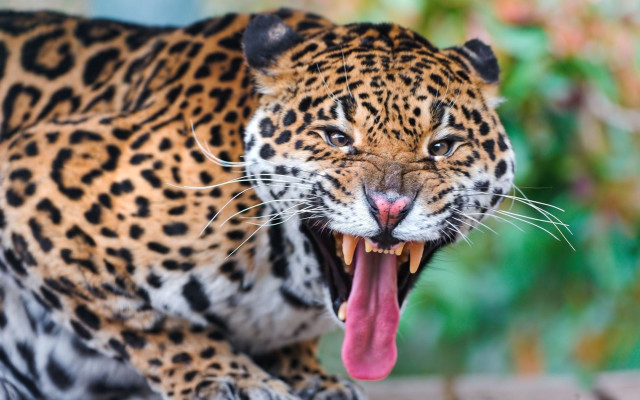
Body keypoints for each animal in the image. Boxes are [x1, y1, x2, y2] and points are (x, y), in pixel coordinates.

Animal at [0, 7, 515, 400]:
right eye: (336, 138)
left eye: (442, 146)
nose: (390, 207)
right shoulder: (29, 174)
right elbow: (146, 324)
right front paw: (230, 377)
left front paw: (312, 380)